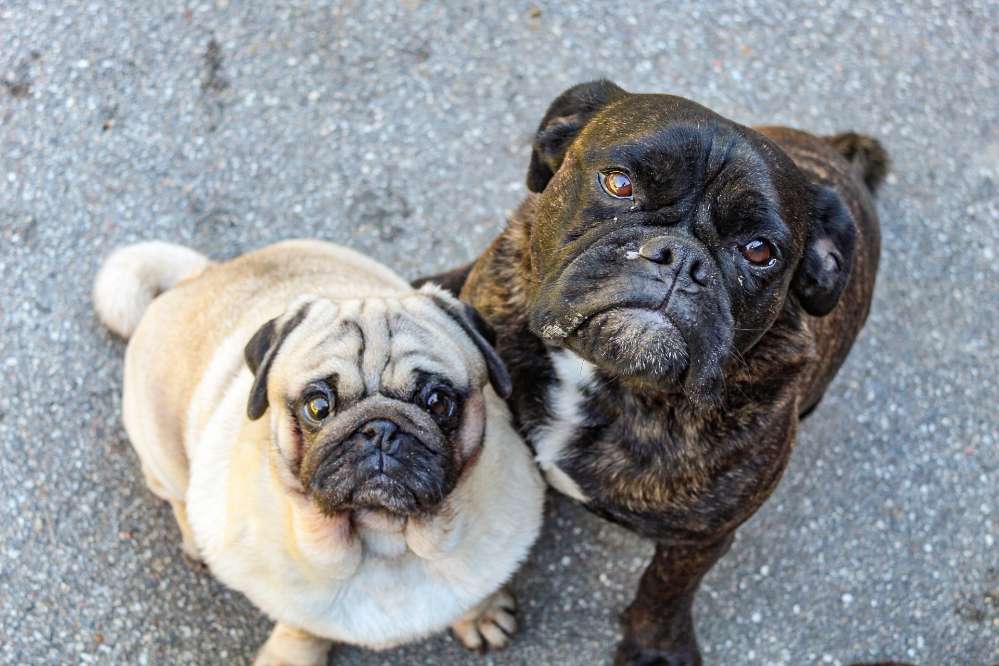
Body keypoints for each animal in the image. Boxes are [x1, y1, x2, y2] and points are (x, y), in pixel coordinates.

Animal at [418, 80, 888, 660]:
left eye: (760, 252)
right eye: (618, 183)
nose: (680, 257)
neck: (604, 376)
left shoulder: (700, 539)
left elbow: (665, 587)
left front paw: (655, 644)